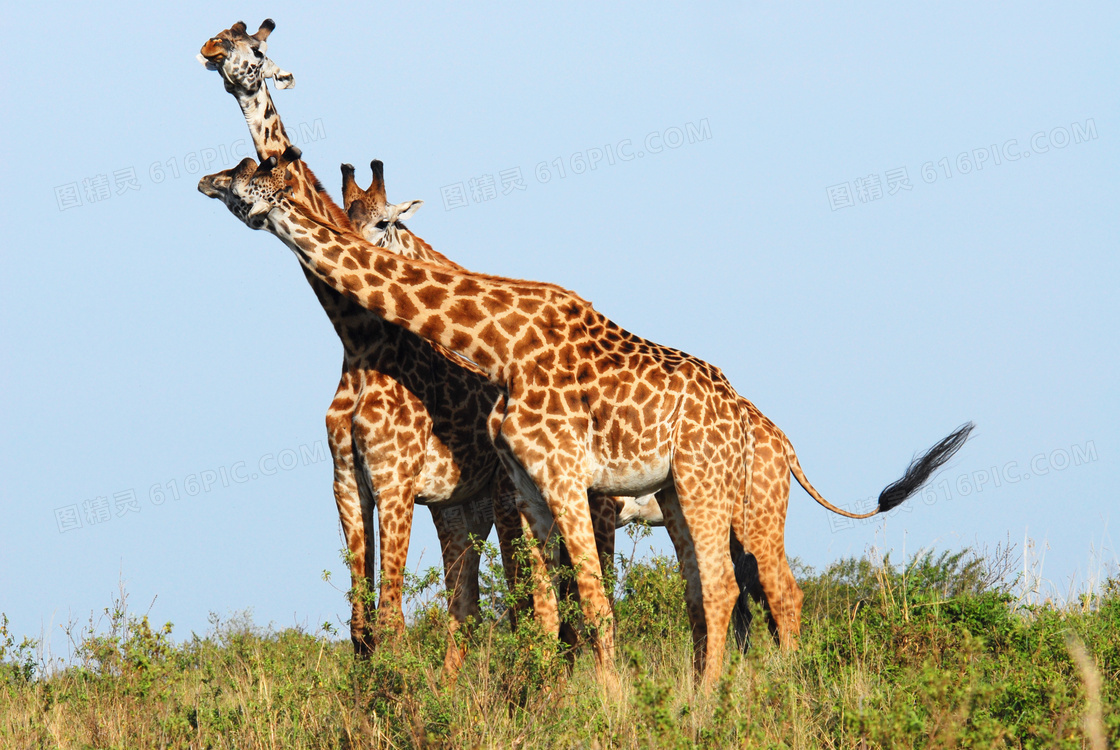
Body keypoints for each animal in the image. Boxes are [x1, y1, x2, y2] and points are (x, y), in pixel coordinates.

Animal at [198, 19, 528, 676]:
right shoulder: (348, 481)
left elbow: (392, 621)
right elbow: (361, 628)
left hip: (506, 497)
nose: (210, 51)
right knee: (471, 607)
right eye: (224, 38)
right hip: (463, 506)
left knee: (533, 595)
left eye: (256, 48)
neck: (359, 342)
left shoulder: (394, 480)